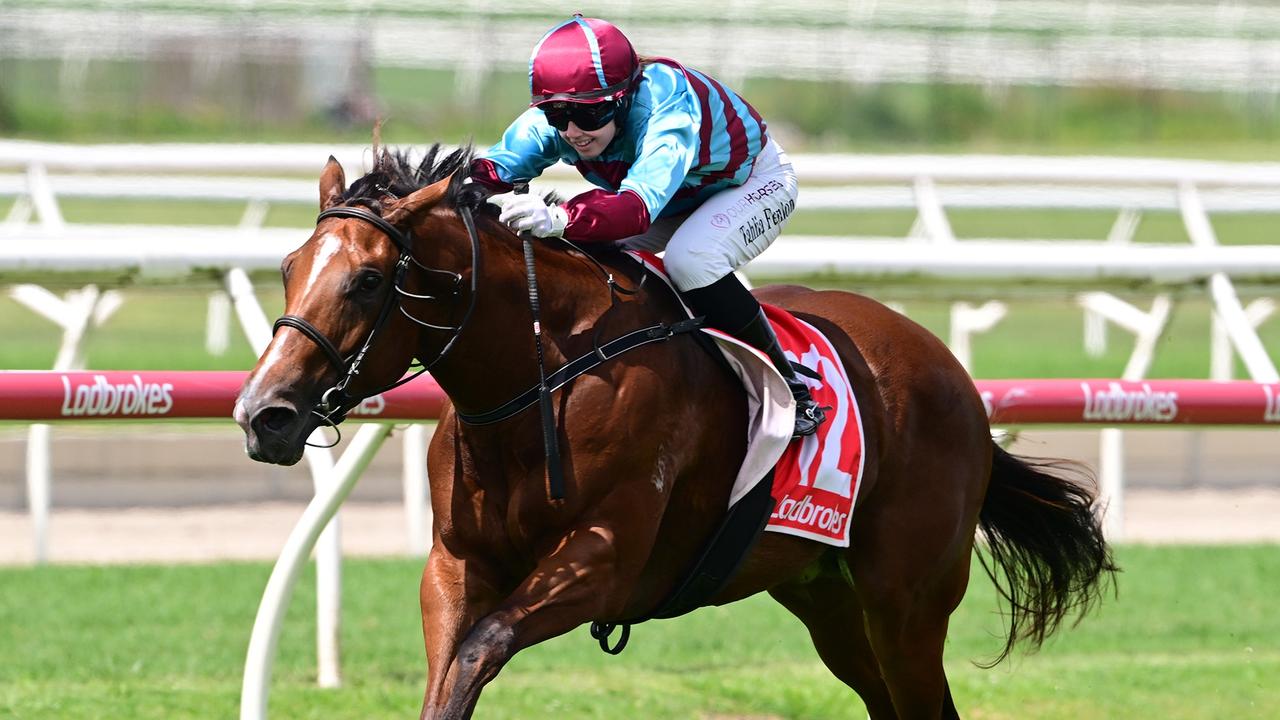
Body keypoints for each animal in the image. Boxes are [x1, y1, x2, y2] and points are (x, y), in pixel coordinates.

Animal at [235, 142, 1116, 712]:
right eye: (288, 266)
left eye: (367, 280)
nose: (263, 414)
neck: (541, 377)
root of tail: (955, 377)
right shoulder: (453, 565)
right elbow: (451, 667)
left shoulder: (604, 560)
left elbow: (480, 651)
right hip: (825, 597)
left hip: (907, 602)